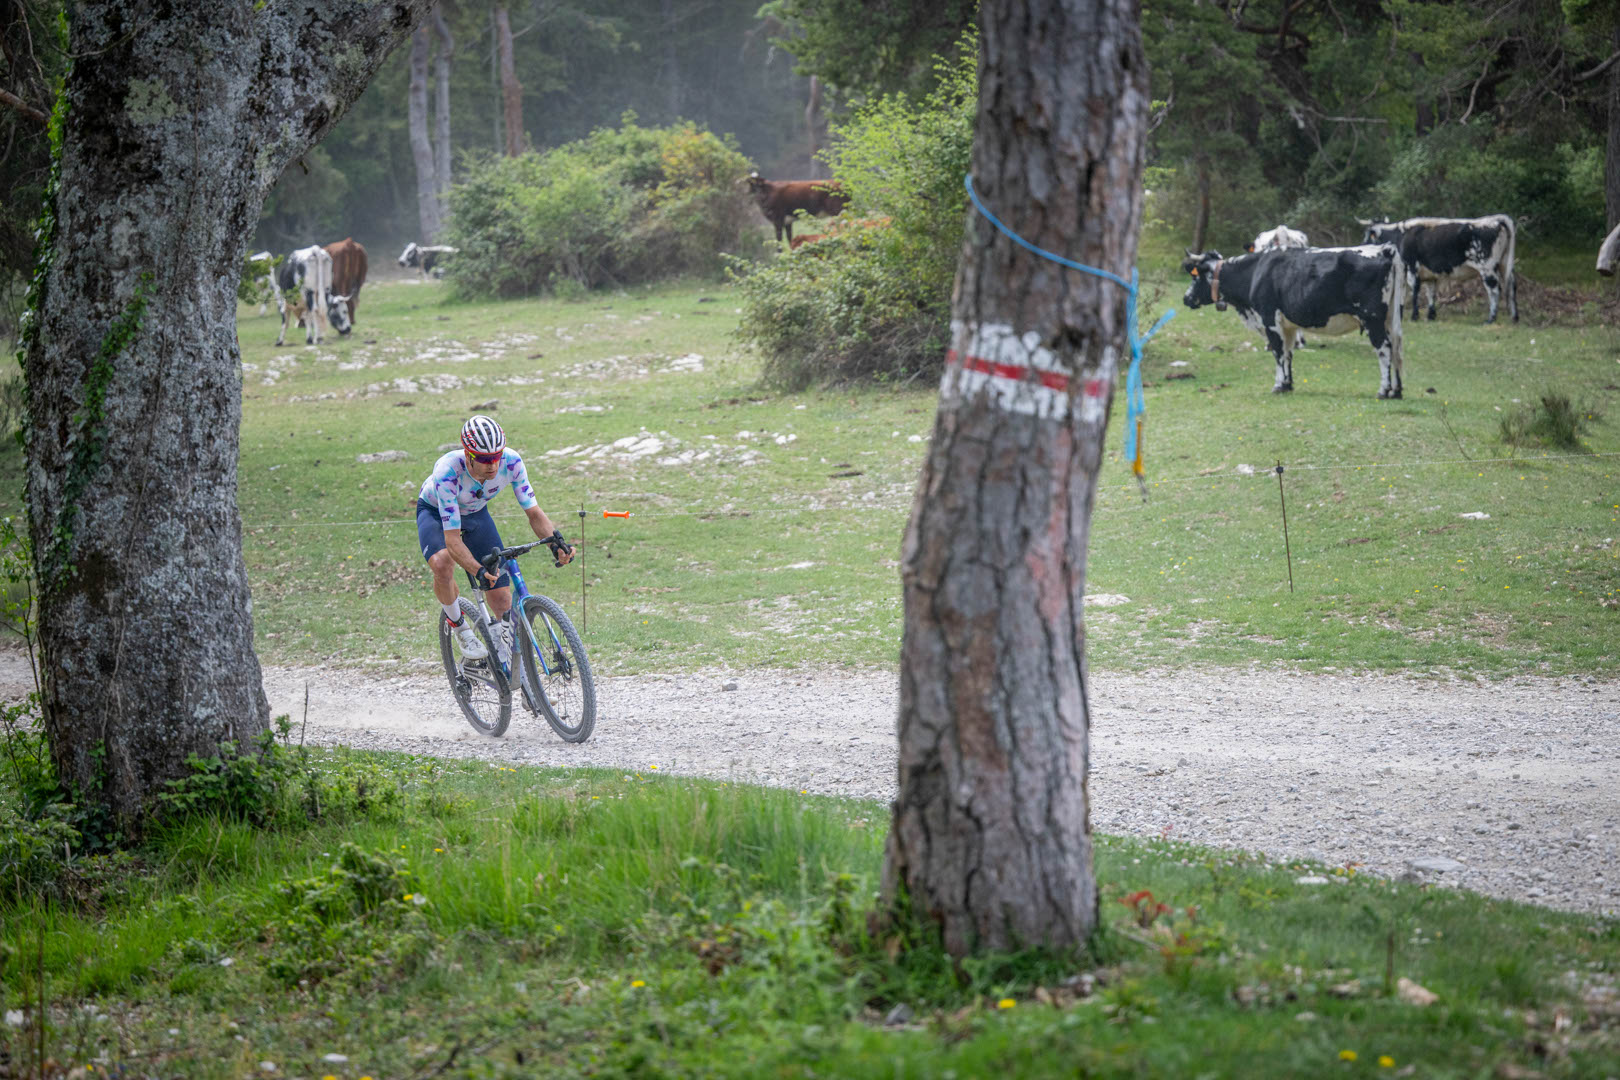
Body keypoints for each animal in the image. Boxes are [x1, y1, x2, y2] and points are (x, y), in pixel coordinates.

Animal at [1181, 244, 1407, 399]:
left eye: (1195, 277)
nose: (1186, 298)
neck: (1254, 272)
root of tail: (1384, 249)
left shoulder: (1270, 320)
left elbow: (1278, 353)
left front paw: (1278, 385)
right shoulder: (1287, 326)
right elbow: (1288, 353)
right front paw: (1288, 384)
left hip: (1372, 319)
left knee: (1384, 349)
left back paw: (1383, 390)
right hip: (1390, 319)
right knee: (1396, 348)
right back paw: (1396, 391)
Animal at [1360, 215, 1518, 324]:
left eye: (1368, 234)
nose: (1361, 245)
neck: (1401, 235)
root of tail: (1495, 219)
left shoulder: (1411, 268)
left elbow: (1415, 292)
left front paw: (1414, 316)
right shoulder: (1430, 275)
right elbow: (1431, 293)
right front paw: (1431, 315)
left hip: (1487, 267)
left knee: (1495, 290)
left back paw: (1491, 318)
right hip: (1504, 265)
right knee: (1511, 286)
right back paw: (1515, 317)